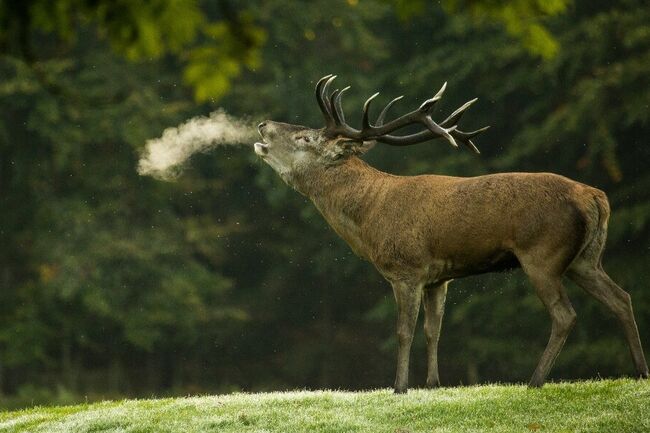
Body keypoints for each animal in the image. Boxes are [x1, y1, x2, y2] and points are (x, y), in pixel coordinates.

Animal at [253, 74, 649, 394]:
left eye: (305, 137)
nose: (262, 125)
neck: (371, 219)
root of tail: (597, 198)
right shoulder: (439, 278)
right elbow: (434, 329)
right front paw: (433, 383)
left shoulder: (407, 269)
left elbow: (404, 331)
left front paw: (399, 387)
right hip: (585, 259)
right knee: (621, 298)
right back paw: (641, 371)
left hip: (543, 254)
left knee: (565, 315)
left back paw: (535, 381)